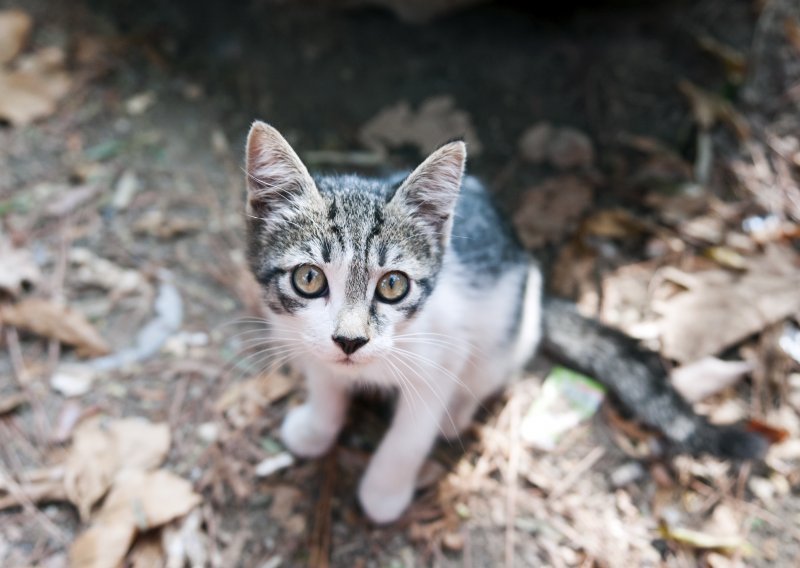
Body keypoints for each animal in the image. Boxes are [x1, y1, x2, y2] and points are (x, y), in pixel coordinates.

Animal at [244, 120, 768, 524]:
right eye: (309, 278)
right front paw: (317, 429)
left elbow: (409, 437)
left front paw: (384, 493)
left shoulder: (442, 354)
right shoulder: (301, 338)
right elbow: (325, 384)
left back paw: (456, 413)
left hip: (510, 329)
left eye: (393, 285)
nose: (350, 341)